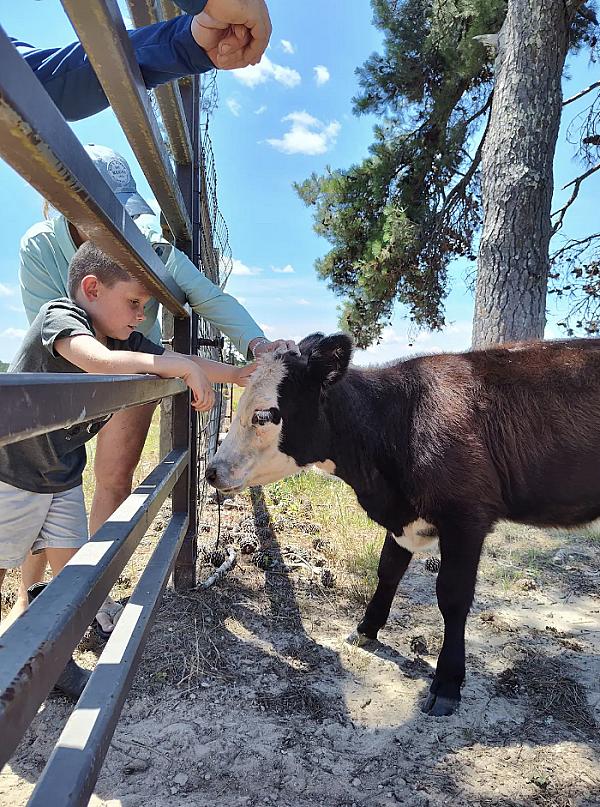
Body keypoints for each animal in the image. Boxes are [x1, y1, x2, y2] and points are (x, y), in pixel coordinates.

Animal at [205, 333, 600, 717]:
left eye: (264, 415)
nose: (212, 472)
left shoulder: (466, 518)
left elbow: (452, 596)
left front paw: (447, 684)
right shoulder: (403, 519)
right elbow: (388, 570)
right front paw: (367, 629)